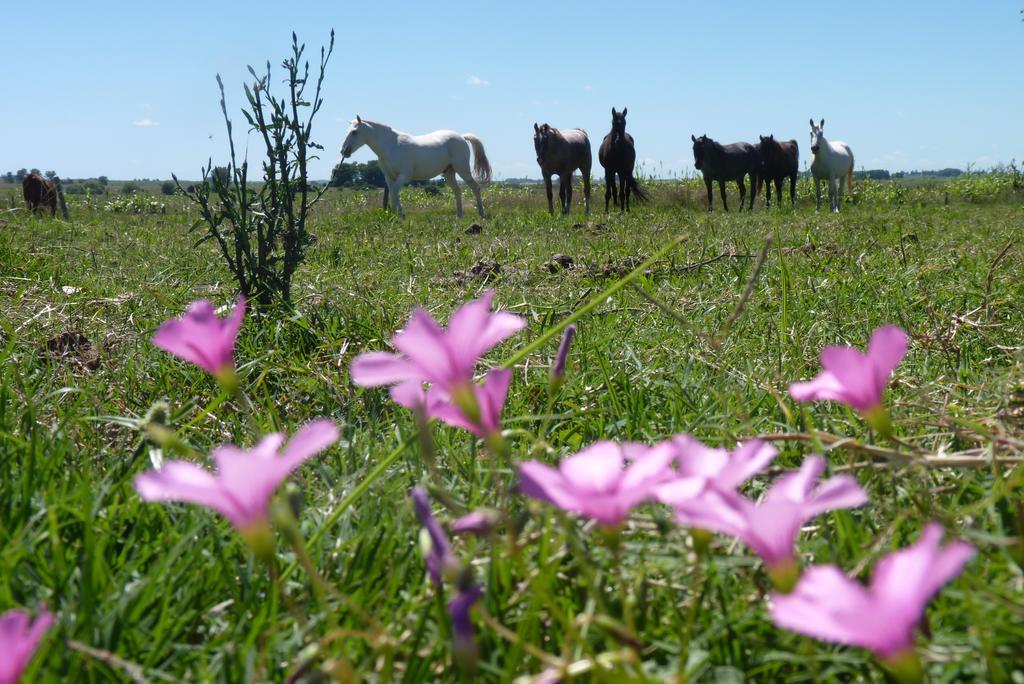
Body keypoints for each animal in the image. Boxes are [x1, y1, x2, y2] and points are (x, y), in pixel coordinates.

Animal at [339, 114, 491, 216]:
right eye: (347, 132)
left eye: (354, 132)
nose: (344, 151)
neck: (391, 146)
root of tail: (461, 137)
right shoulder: (389, 177)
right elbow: (394, 194)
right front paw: (399, 216)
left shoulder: (403, 176)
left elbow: (394, 193)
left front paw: (396, 216)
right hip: (449, 172)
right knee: (457, 191)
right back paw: (459, 216)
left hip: (462, 169)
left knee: (475, 187)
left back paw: (481, 213)